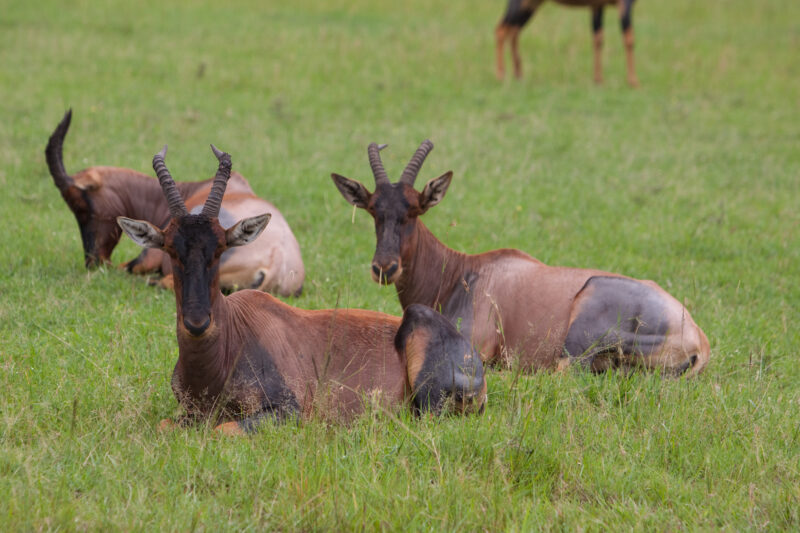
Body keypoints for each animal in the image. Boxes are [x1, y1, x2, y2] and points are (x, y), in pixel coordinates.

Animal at [117, 145, 486, 434]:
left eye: (220, 247)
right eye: (170, 247)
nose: (197, 323)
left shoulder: (289, 412)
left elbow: (224, 429)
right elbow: (165, 424)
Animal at [495, 0, 639, 86]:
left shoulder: (598, 6)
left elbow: (598, 39)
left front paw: (598, 80)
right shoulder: (625, 4)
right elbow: (629, 39)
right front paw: (633, 82)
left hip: (531, 5)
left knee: (513, 32)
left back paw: (518, 75)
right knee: (501, 30)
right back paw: (501, 75)